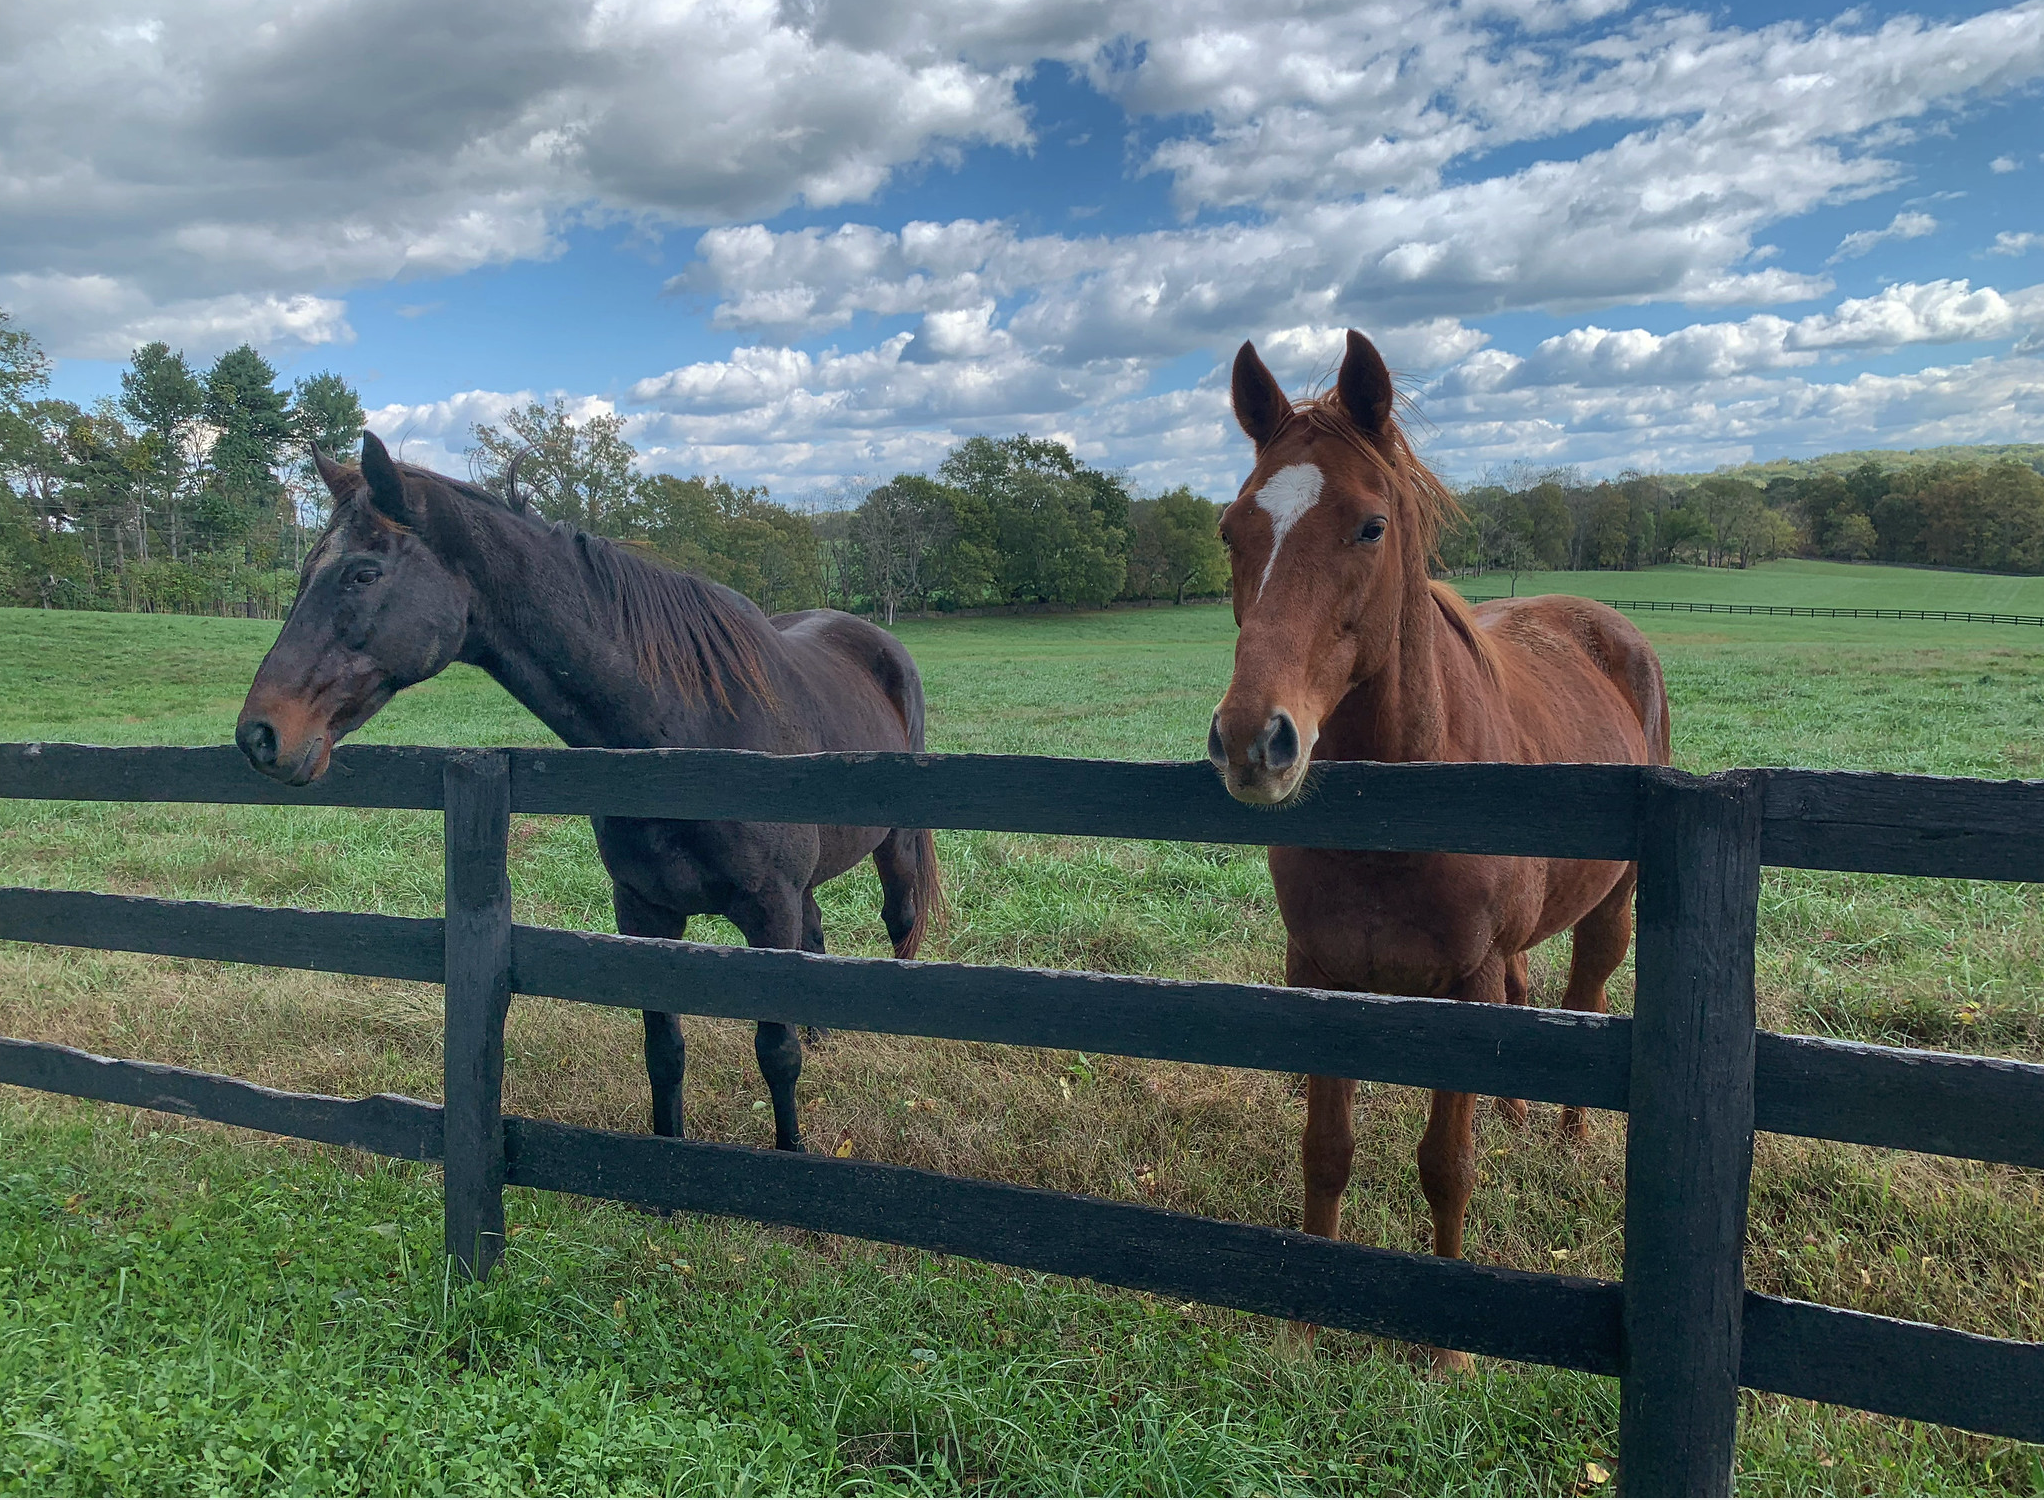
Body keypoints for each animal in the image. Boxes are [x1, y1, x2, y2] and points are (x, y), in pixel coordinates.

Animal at [235, 431, 941, 1155]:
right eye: (305, 572)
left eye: (363, 573)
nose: (260, 734)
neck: (693, 742)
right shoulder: (643, 913)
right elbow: (665, 1051)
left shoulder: (769, 911)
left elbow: (776, 1053)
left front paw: (791, 1153)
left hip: (894, 849)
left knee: (899, 921)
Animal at [1206, 330, 1671, 1367]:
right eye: (1231, 530)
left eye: (1371, 526)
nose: (1254, 741)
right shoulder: (1321, 975)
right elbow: (1326, 1151)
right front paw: (1308, 1317)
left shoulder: (1466, 983)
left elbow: (1447, 1164)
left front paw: (1451, 1349)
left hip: (1613, 907)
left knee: (1584, 992)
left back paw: (1568, 1135)